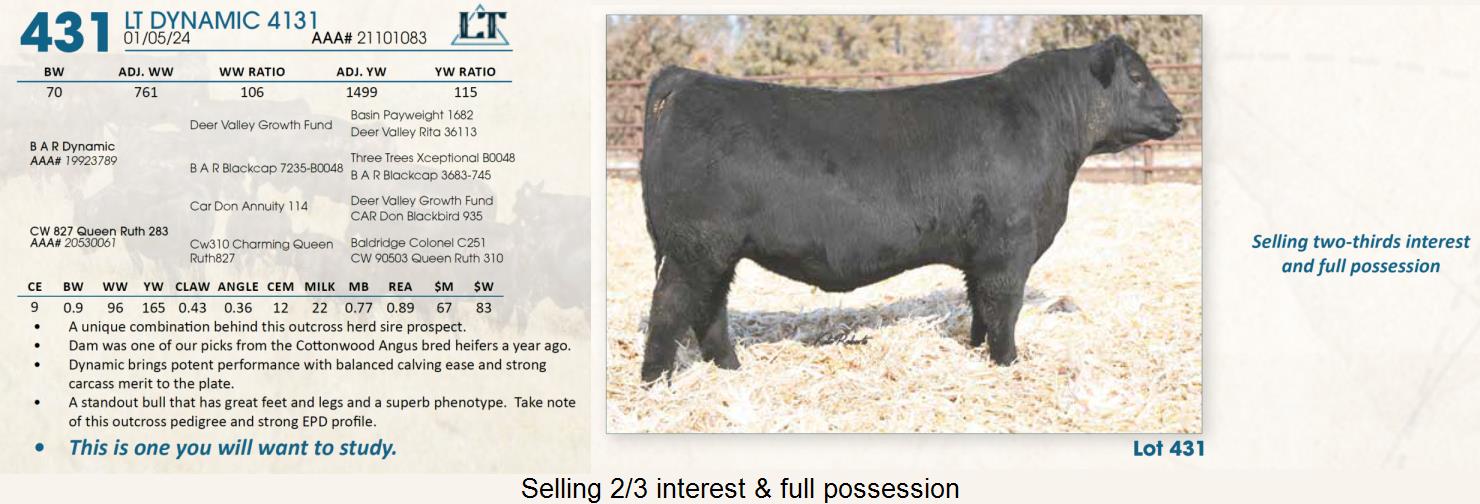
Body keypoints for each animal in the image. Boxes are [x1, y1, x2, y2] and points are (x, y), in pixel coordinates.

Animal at [636, 35, 1182, 382]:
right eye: (1137, 76)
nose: (1176, 116)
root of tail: (687, 79)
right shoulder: (1009, 248)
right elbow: (1005, 307)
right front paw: (1009, 363)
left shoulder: (978, 252)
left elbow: (979, 305)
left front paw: (977, 348)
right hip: (693, 247)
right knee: (671, 307)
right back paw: (655, 382)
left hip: (714, 252)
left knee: (710, 307)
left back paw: (729, 368)